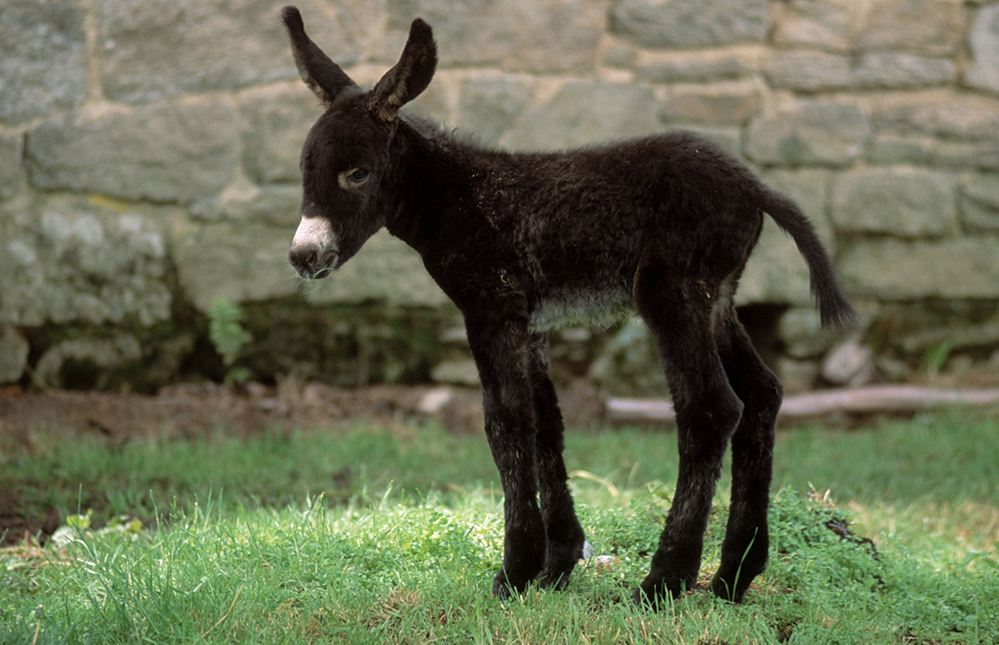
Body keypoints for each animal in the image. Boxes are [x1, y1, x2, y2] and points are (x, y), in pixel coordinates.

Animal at [278, 7, 856, 608]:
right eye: (306, 171)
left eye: (357, 173)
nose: (303, 255)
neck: (456, 199)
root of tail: (753, 185)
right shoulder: (532, 325)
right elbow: (545, 427)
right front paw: (557, 563)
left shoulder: (490, 309)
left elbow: (506, 423)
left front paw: (515, 570)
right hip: (717, 299)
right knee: (763, 395)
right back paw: (732, 577)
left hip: (670, 292)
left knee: (711, 408)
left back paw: (664, 580)